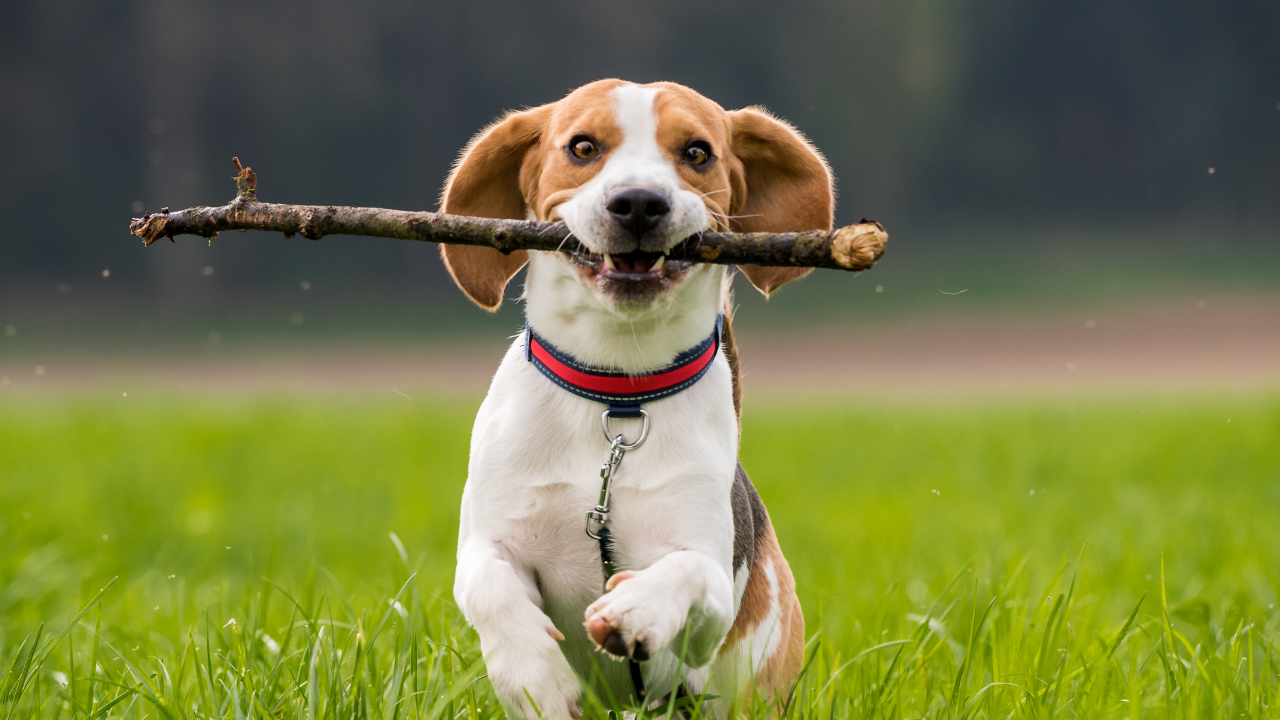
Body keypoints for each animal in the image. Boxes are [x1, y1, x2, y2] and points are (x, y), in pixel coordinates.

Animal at [445, 79, 834, 717]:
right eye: (582, 147)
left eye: (698, 152)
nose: (638, 203)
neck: (617, 395)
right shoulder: (489, 541)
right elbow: (489, 588)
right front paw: (535, 678)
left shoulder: (710, 586)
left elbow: (688, 573)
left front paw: (635, 611)